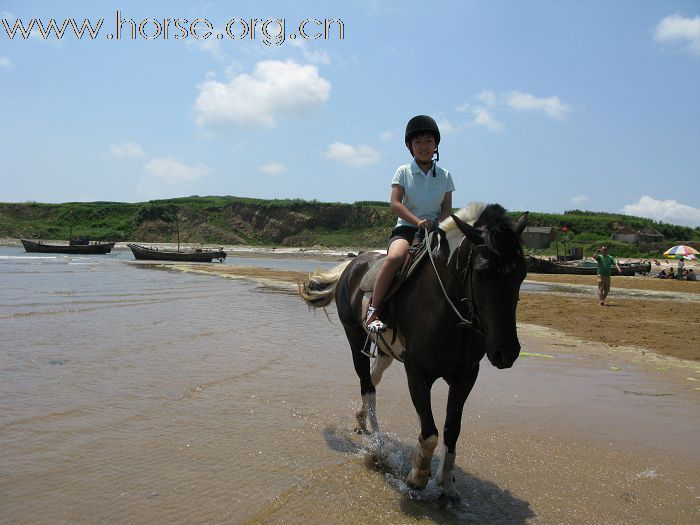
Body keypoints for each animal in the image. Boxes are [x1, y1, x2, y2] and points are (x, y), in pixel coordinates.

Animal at [298, 202, 528, 500]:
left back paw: (362, 420)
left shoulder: (466, 376)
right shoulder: (417, 373)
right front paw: (417, 477)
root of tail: (353, 264)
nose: (507, 352)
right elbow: (429, 432)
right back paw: (376, 442)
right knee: (367, 386)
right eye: (482, 272)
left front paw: (447, 484)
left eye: (522, 273)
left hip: (385, 352)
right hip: (354, 336)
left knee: (372, 377)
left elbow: (451, 430)